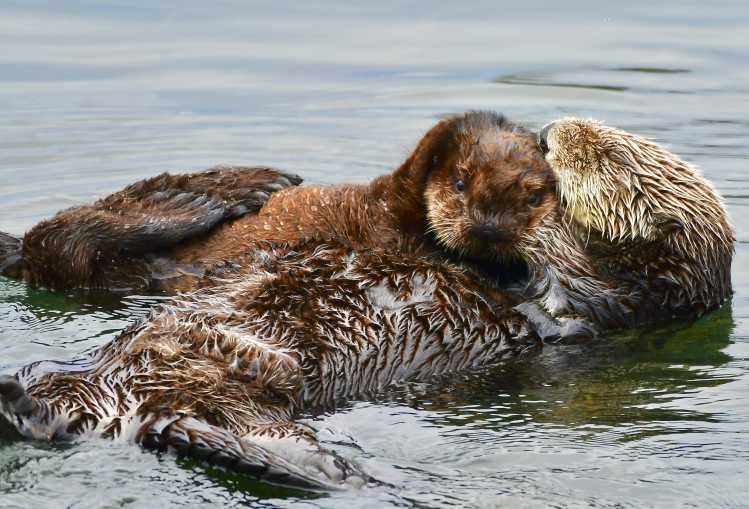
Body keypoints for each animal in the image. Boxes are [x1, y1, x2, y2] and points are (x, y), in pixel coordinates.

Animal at [0, 111, 554, 489]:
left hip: (236, 411)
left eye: (533, 197)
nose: (488, 227)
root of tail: (118, 416)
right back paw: (227, 189)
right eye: (459, 183)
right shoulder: (389, 207)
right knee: (56, 243)